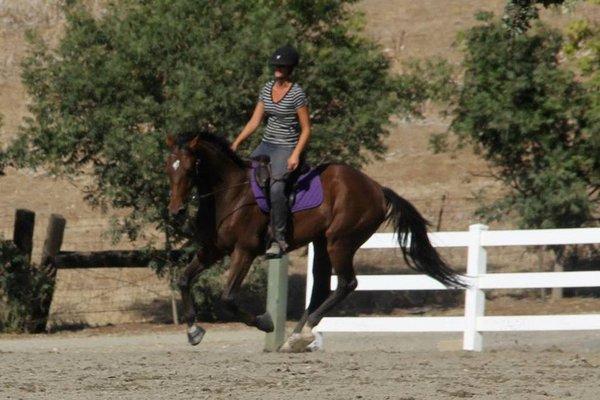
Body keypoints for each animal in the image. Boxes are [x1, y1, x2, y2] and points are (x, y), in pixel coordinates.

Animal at [166, 133, 466, 352]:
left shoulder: (244, 252)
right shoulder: (212, 250)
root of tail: (377, 189)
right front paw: (193, 330)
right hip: (322, 244)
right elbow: (183, 279)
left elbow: (227, 298)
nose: (176, 211)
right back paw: (296, 336)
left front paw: (265, 322)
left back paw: (306, 330)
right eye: (169, 169)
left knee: (346, 283)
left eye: (191, 168)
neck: (230, 194)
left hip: (340, 242)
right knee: (322, 286)